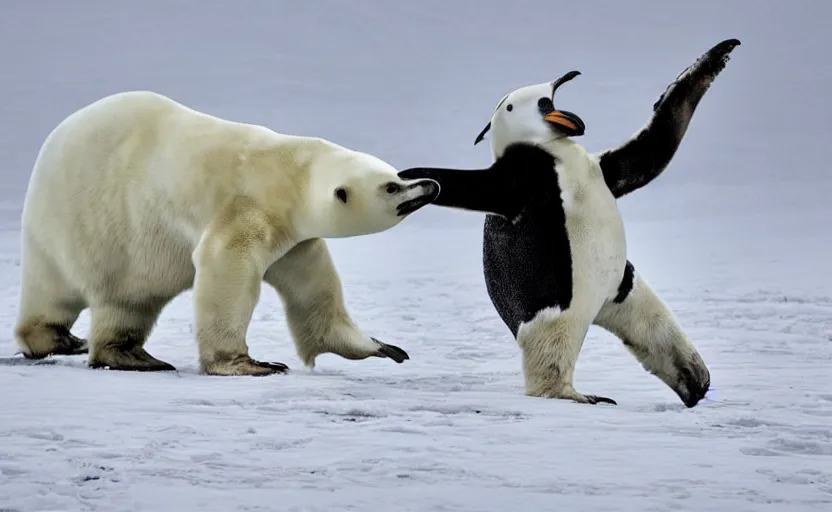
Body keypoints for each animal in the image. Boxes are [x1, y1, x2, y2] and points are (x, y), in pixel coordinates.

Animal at [14, 89, 442, 376]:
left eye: (397, 174)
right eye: (392, 187)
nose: (430, 185)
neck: (288, 171)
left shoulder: (295, 241)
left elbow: (315, 292)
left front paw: (383, 347)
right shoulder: (248, 208)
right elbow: (226, 271)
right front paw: (250, 364)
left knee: (121, 300)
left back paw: (123, 354)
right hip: (88, 223)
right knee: (81, 292)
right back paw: (70, 342)